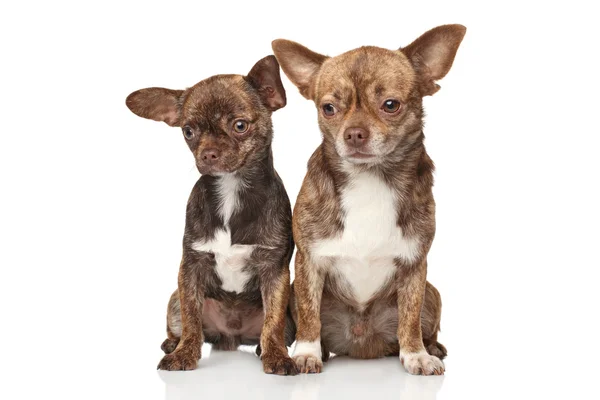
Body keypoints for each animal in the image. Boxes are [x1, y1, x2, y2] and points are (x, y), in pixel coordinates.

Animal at [125, 54, 298, 374]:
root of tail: (231, 337)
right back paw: (172, 343)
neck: (230, 190)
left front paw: (277, 356)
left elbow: (273, 322)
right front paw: (183, 354)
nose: (208, 153)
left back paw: (261, 348)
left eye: (240, 125)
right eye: (188, 131)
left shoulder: (275, 273)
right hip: (174, 300)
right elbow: (192, 321)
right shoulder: (190, 268)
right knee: (184, 324)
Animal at [274, 25, 466, 376]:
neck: (370, 178)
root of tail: (363, 343)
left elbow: (410, 318)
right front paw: (306, 353)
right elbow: (309, 315)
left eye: (390, 104)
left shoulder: (415, 267)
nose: (354, 133)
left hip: (432, 293)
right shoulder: (309, 262)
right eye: (328, 108)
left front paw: (416, 355)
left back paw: (432, 347)